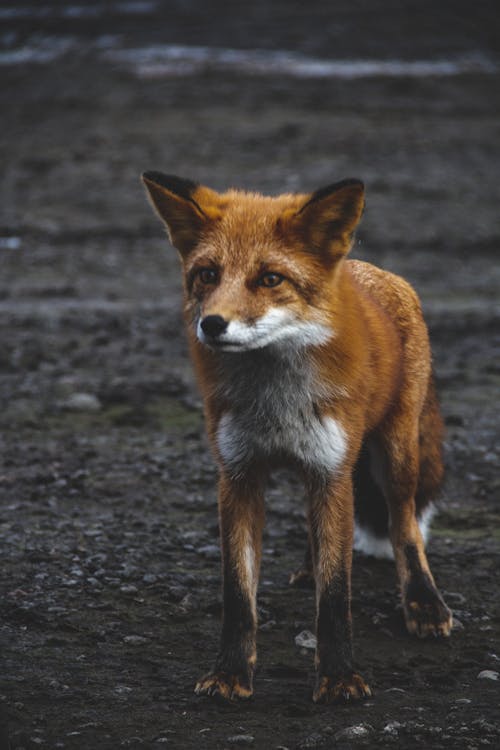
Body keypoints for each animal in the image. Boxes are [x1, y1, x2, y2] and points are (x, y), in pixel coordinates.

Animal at [142, 173, 454, 708]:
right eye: (207, 274)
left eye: (270, 279)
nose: (212, 324)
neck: (276, 404)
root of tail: (371, 270)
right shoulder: (238, 475)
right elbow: (238, 595)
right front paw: (230, 674)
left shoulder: (331, 470)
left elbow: (335, 597)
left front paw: (340, 678)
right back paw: (311, 568)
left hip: (394, 456)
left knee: (404, 525)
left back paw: (423, 602)